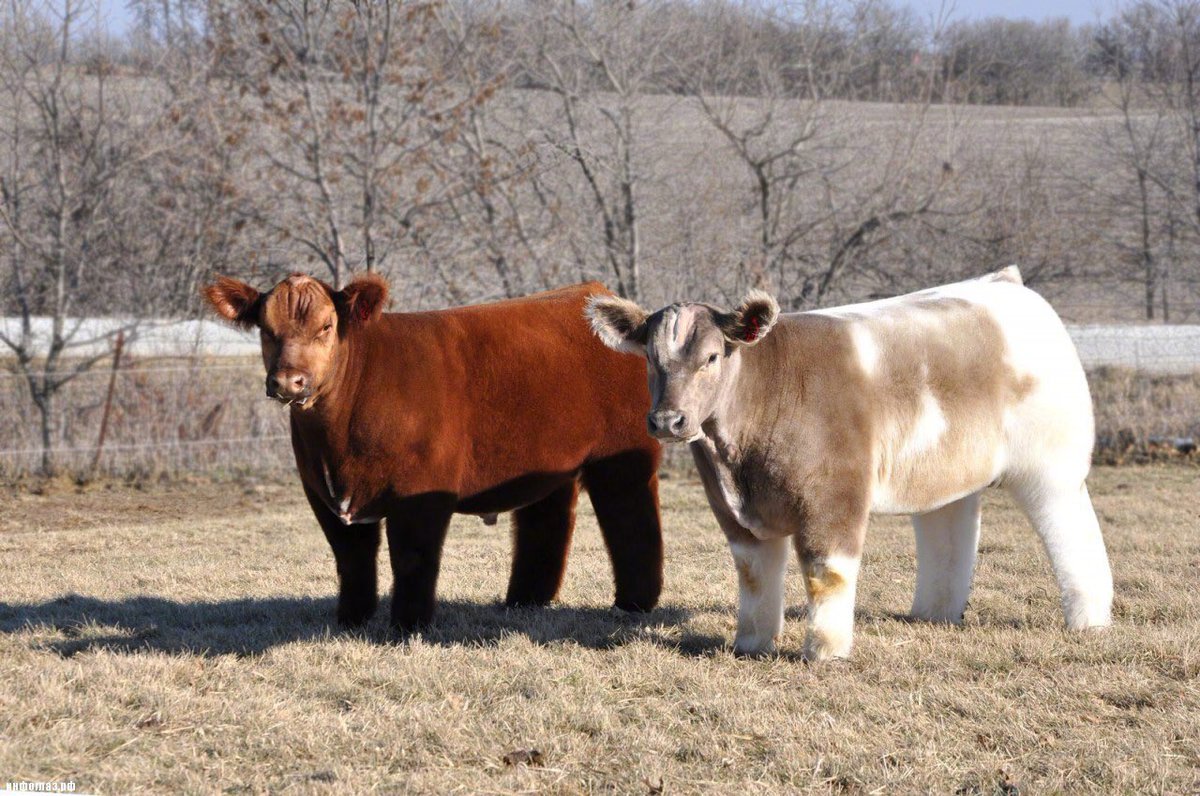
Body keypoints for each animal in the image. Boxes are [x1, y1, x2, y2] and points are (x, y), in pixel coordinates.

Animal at [201, 276, 662, 633]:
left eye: (327, 325)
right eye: (265, 328)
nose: (288, 381)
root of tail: (596, 293)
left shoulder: (421, 490)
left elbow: (412, 556)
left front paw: (409, 626)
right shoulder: (321, 492)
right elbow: (351, 559)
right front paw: (351, 620)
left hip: (623, 455)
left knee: (631, 518)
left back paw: (635, 603)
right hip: (546, 461)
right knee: (546, 521)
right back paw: (526, 600)